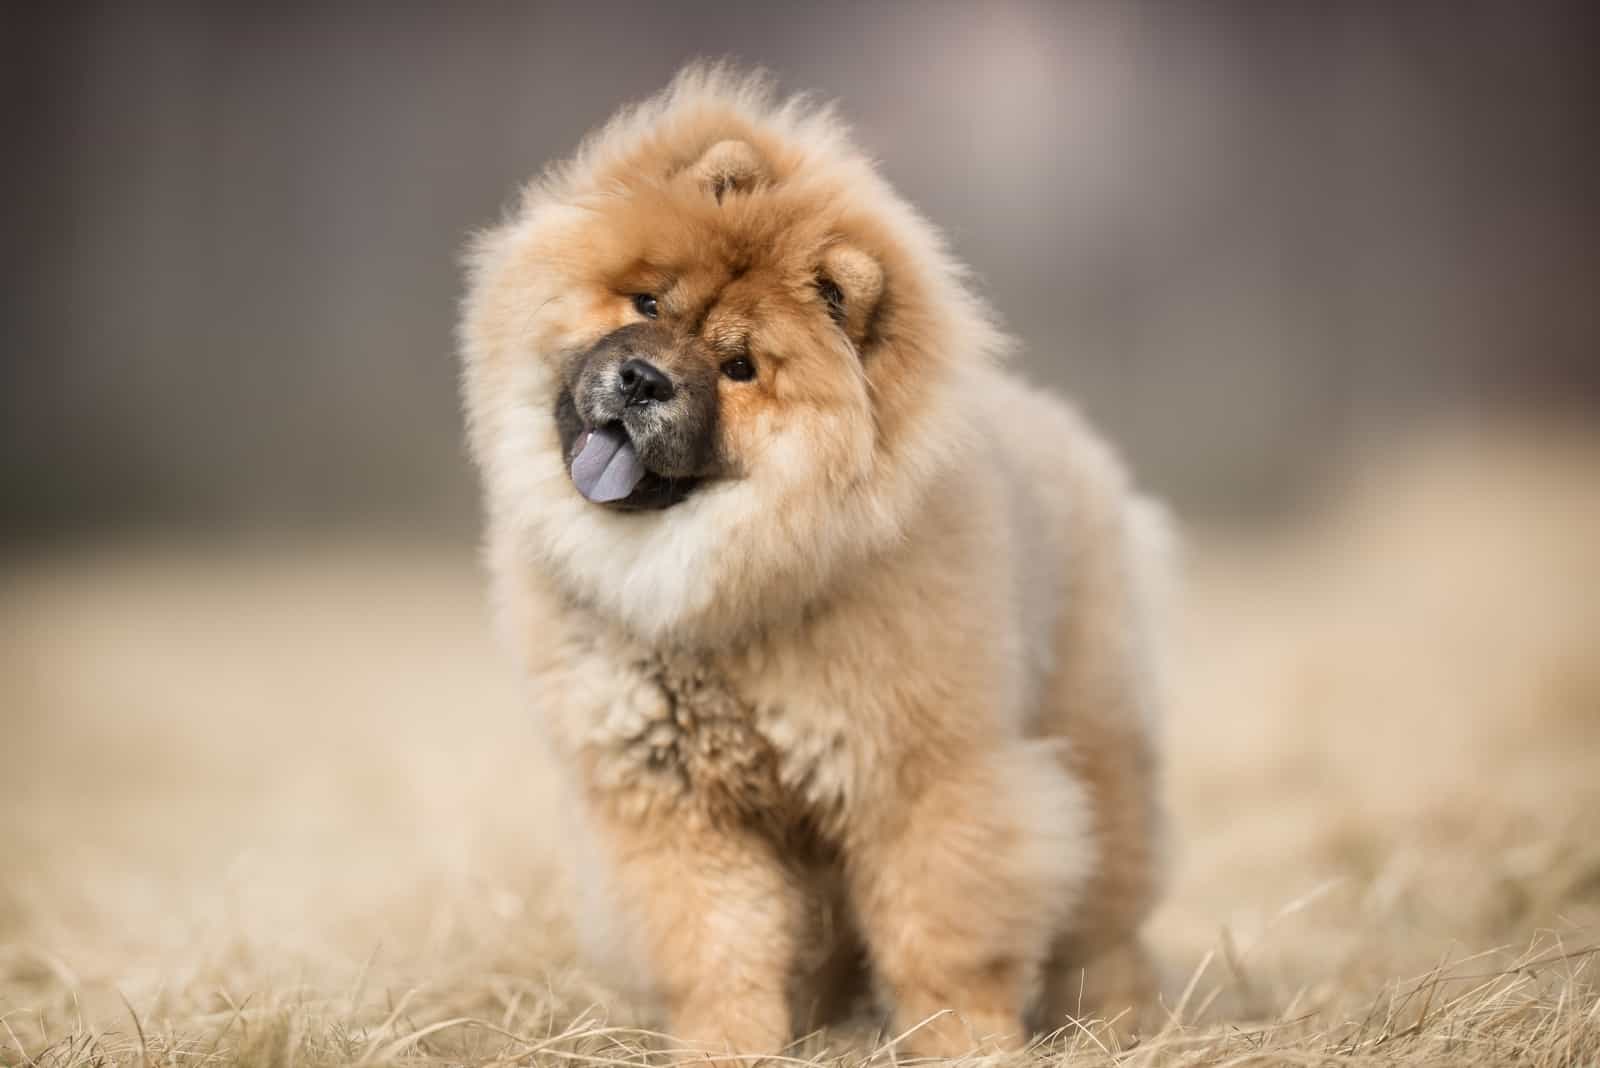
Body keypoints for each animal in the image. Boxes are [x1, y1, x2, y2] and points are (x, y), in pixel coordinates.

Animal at [457, 68, 1171, 1061]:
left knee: (1107, 911)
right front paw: (731, 1042)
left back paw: (1119, 1020)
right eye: (647, 305)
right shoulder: (673, 804)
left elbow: (942, 938)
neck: (718, 594)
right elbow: (717, 944)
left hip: (1092, 741)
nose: (643, 380)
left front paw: (967, 1041)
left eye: (740, 368)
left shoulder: (917, 780)